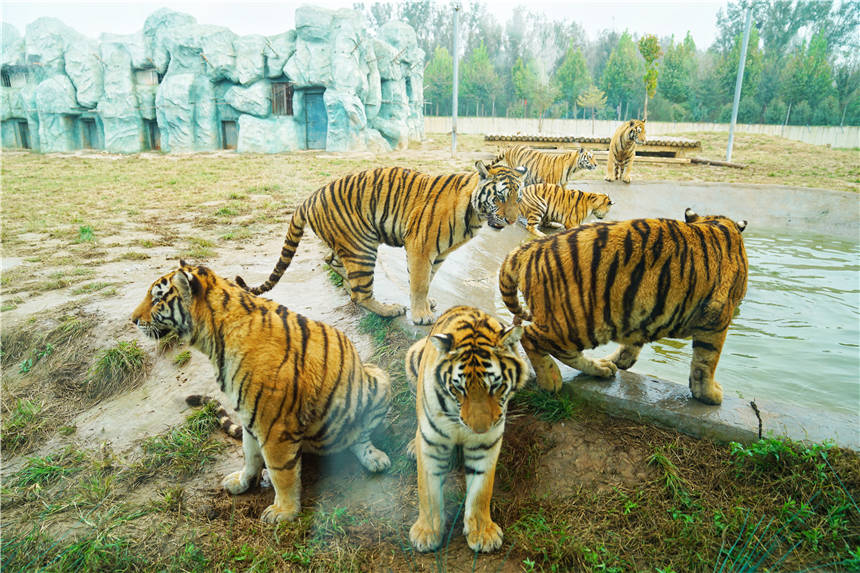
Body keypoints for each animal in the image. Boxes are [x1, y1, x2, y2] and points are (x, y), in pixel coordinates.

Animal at [131, 264, 390, 524]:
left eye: (157, 299)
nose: (133, 320)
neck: (213, 339)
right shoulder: (250, 415)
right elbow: (250, 454)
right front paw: (242, 481)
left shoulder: (275, 425)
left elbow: (281, 472)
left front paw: (283, 511)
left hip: (379, 379)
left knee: (358, 437)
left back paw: (374, 458)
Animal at [239, 161, 528, 324]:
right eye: (500, 197)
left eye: (518, 198)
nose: (513, 220)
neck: (475, 214)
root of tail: (308, 198)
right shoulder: (420, 246)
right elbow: (420, 283)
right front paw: (422, 315)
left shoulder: (438, 254)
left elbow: (428, 279)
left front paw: (428, 303)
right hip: (362, 246)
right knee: (360, 293)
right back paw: (389, 310)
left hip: (345, 246)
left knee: (333, 263)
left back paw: (348, 284)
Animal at [404, 306, 532, 552]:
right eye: (459, 388)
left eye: (496, 386)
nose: (479, 429)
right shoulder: (432, 443)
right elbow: (428, 490)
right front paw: (426, 533)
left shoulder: (486, 443)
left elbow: (481, 489)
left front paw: (482, 533)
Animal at [498, 208, 744, 404]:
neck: (715, 223)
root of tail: (529, 248)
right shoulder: (717, 319)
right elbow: (706, 361)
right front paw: (710, 395)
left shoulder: (642, 311)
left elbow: (633, 343)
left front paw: (619, 360)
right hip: (579, 322)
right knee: (531, 336)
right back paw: (551, 380)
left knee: (563, 350)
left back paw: (602, 368)